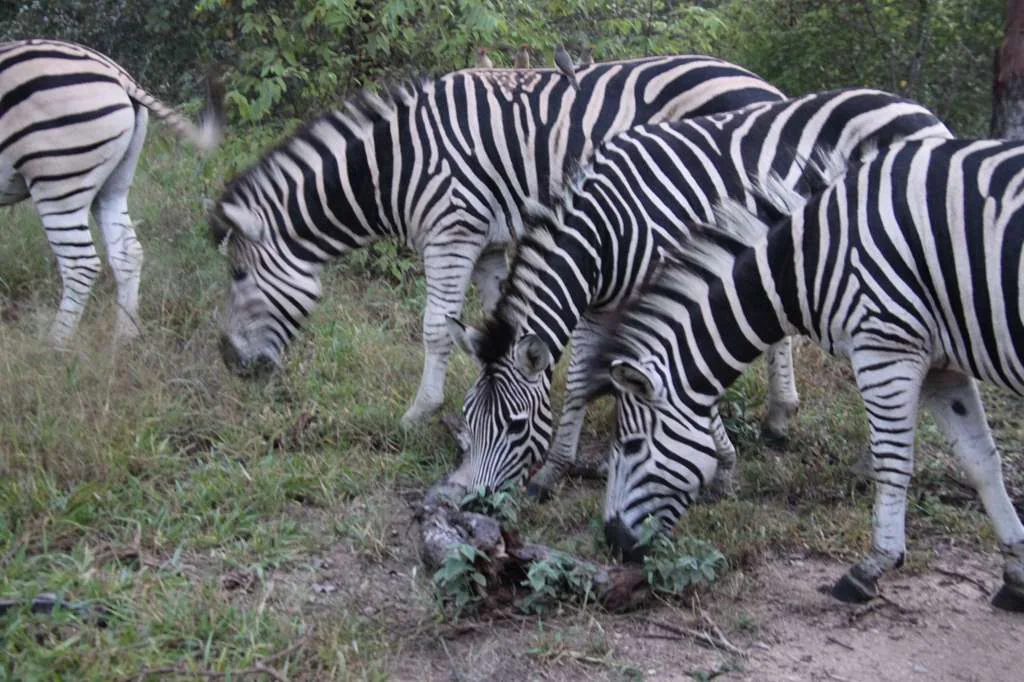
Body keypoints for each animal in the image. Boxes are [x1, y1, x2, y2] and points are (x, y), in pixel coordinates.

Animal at [0, 39, 223, 344]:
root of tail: (117, 74)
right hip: (111, 185)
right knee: (128, 252)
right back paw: (126, 336)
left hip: (57, 181)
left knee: (80, 264)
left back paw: (55, 344)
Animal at [208, 55, 787, 427]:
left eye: (238, 273)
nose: (230, 365)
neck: (395, 164)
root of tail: (769, 89)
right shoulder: (487, 243)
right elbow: (493, 319)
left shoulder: (452, 233)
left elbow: (434, 329)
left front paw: (419, 413)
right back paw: (780, 415)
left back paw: (779, 415)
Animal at [444, 89, 953, 498]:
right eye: (468, 420)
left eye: (515, 427)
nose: (474, 502)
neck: (604, 231)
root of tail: (921, 111)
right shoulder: (597, 307)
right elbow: (578, 382)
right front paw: (556, 470)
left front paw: (721, 465)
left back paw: (870, 465)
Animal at [592, 137, 1024, 612]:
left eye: (632, 446)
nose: (613, 542)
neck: (805, 261)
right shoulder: (941, 367)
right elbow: (980, 461)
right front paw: (1016, 574)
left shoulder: (886, 347)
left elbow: (893, 463)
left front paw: (872, 567)